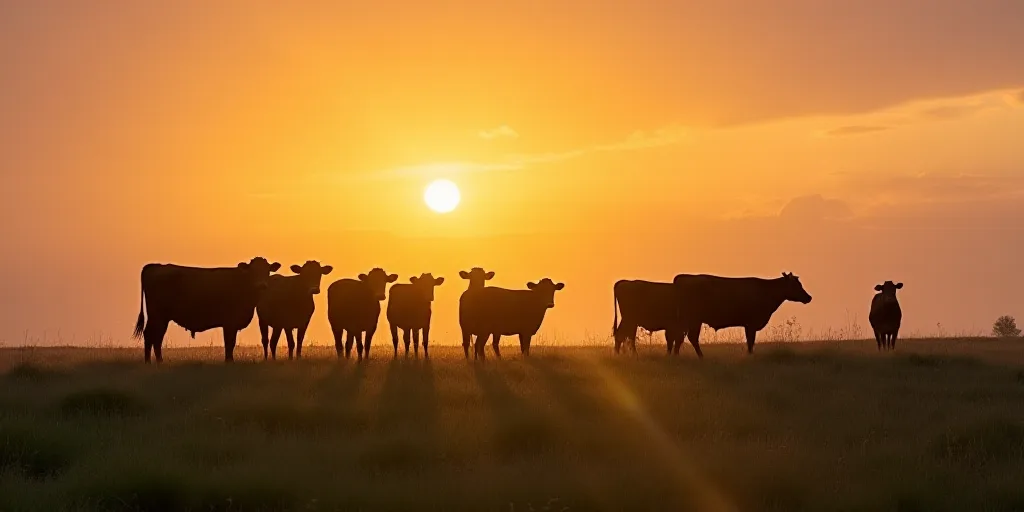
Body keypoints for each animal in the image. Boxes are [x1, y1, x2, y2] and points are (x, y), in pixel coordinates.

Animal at [132, 257, 282, 363]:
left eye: (267, 271)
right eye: (253, 271)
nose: (262, 285)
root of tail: (156, 266)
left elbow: (230, 343)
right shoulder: (229, 323)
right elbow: (229, 343)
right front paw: (229, 361)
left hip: (161, 318)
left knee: (156, 337)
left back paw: (157, 362)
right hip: (157, 315)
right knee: (150, 335)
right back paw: (150, 362)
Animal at [672, 272, 812, 356]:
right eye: (796, 285)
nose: (809, 297)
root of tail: (683, 277)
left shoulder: (748, 324)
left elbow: (750, 341)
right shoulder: (751, 323)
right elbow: (751, 341)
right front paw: (750, 355)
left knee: (682, 337)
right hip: (692, 318)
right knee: (688, 337)